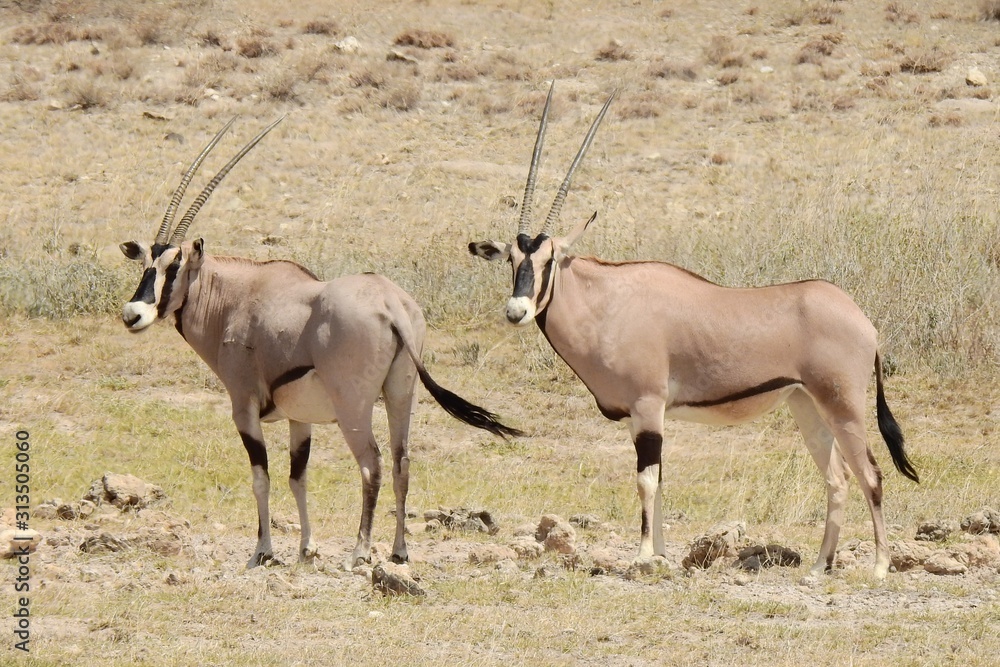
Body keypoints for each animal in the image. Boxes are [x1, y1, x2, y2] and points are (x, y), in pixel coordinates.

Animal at [121, 118, 520, 568]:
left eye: (174, 266)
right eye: (145, 263)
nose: (133, 314)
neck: (235, 299)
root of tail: (391, 304)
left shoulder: (243, 408)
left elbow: (261, 477)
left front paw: (263, 550)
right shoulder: (301, 419)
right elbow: (299, 477)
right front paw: (306, 548)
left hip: (353, 407)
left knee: (371, 464)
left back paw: (360, 551)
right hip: (401, 395)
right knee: (401, 462)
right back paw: (398, 550)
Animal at [472, 85, 916, 580]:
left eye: (549, 259)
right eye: (512, 260)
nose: (516, 311)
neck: (607, 301)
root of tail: (864, 322)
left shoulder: (648, 407)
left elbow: (646, 481)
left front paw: (643, 556)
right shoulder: (643, 417)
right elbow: (660, 480)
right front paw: (663, 556)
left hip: (844, 406)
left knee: (871, 473)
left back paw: (880, 567)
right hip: (807, 405)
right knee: (837, 477)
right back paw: (820, 566)